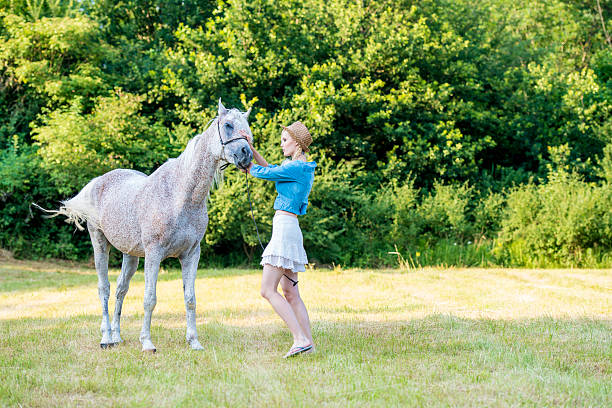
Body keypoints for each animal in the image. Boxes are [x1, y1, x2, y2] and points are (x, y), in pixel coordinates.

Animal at [37, 99, 252, 350]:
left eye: (247, 127)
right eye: (228, 125)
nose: (246, 154)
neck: (179, 195)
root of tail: (99, 181)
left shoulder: (191, 255)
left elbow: (190, 299)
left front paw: (194, 341)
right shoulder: (154, 254)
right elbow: (150, 299)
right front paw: (147, 342)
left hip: (130, 255)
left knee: (120, 289)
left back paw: (117, 336)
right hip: (99, 243)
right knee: (104, 289)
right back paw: (106, 337)